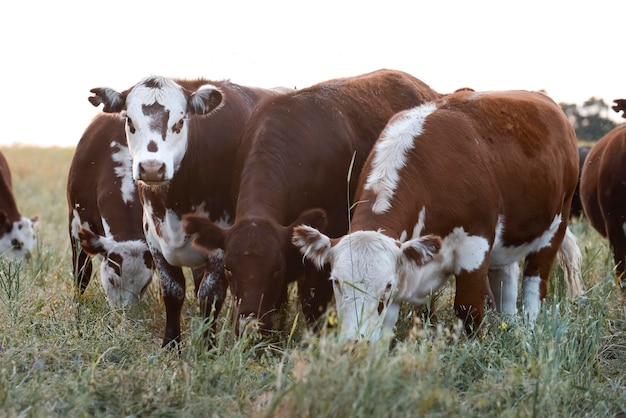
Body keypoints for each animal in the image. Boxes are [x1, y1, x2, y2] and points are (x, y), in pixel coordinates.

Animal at [88, 76, 286, 348]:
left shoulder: (222, 248)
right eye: (129, 120)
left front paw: (207, 345)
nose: (152, 167)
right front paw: (171, 344)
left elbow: (210, 296)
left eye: (180, 122)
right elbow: (173, 291)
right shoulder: (155, 242)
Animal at [292, 90, 580, 342]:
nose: (353, 342)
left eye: (386, 285)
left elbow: (469, 310)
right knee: (506, 281)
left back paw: (528, 329)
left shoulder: (474, 246)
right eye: (336, 282)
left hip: (556, 225)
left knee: (534, 285)